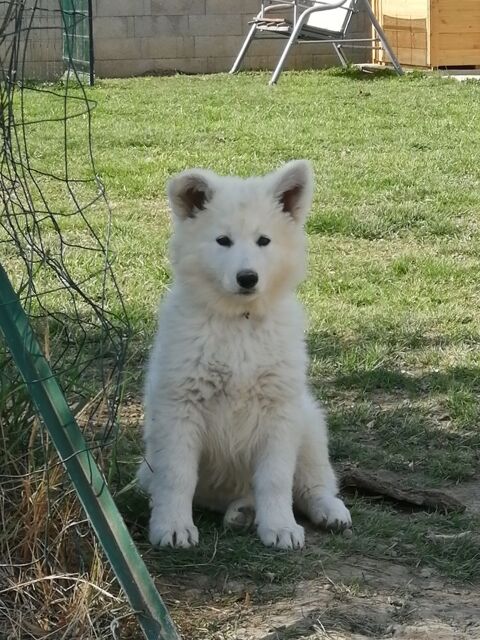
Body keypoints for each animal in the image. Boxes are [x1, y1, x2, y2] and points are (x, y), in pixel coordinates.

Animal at [137, 161, 350, 552]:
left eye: (264, 240)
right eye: (223, 240)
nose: (247, 278)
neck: (239, 321)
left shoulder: (280, 412)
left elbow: (276, 479)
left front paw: (280, 527)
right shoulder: (180, 409)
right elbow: (177, 476)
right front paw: (173, 527)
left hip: (309, 424)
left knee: (313, 484)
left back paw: (328, 511)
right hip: (150, 467)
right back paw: (242, 512)